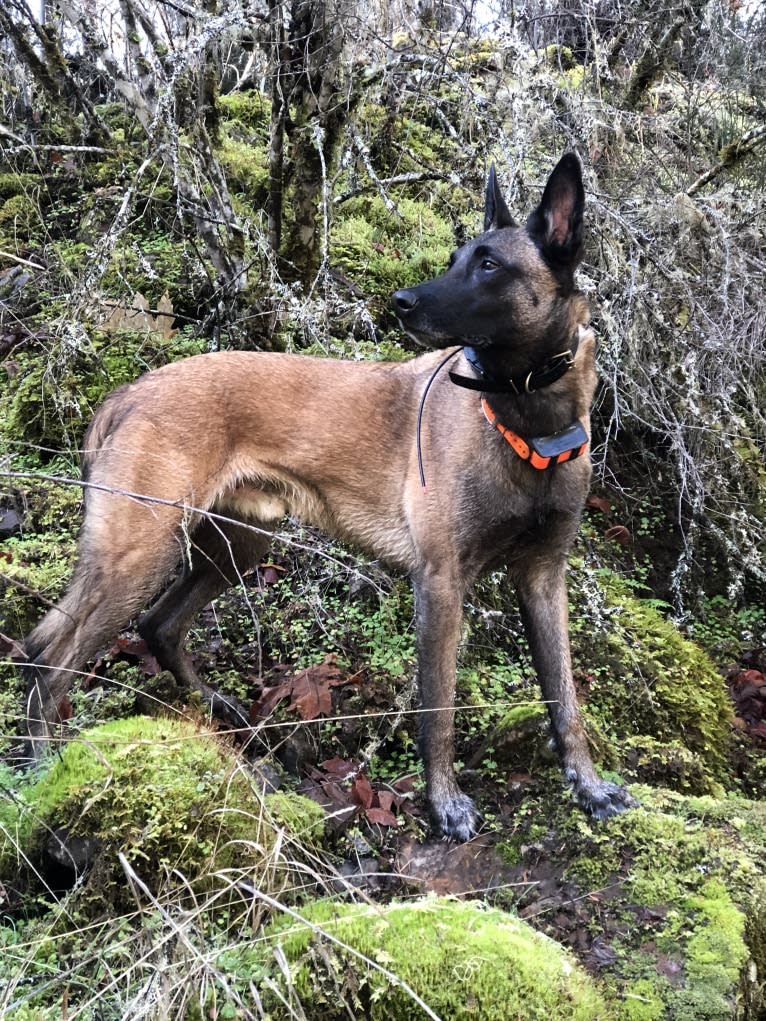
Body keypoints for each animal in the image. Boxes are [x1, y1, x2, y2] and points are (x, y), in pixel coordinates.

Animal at [24, 151, 637, 837]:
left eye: (489, 265)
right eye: (457, 258)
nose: (400, 302)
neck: (527, 423)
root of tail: (127, 393)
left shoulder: (543, 577)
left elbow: (564, 695)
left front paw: (588, 787)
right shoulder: (441, 583)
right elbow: (439, 706)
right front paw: (445, 803)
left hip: (237, 544)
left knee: (157, 625)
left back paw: (211, 708)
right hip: (142, 549)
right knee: (50, 656)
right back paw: (44, 769)